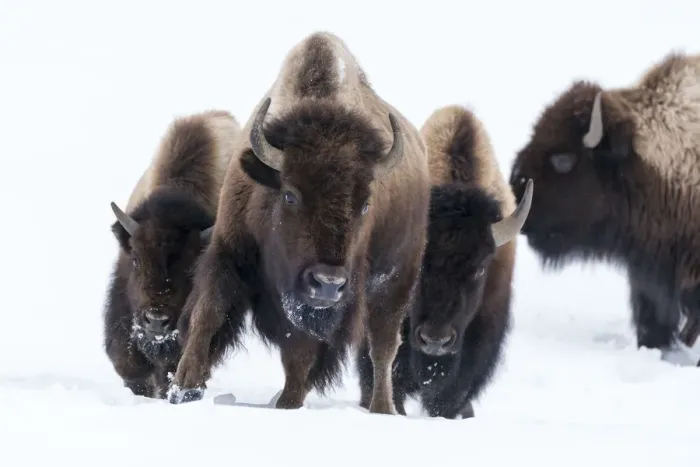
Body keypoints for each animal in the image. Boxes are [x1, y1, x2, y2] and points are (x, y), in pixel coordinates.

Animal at [167, 31, 431, 414]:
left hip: (396, 281)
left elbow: (301, 353)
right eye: (290, 195)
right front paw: (183, 387)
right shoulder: (229, 249)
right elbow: (209, 313)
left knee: (382, 346)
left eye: (365, 204)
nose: (328, 283)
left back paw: (382, 408)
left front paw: (287, 405)